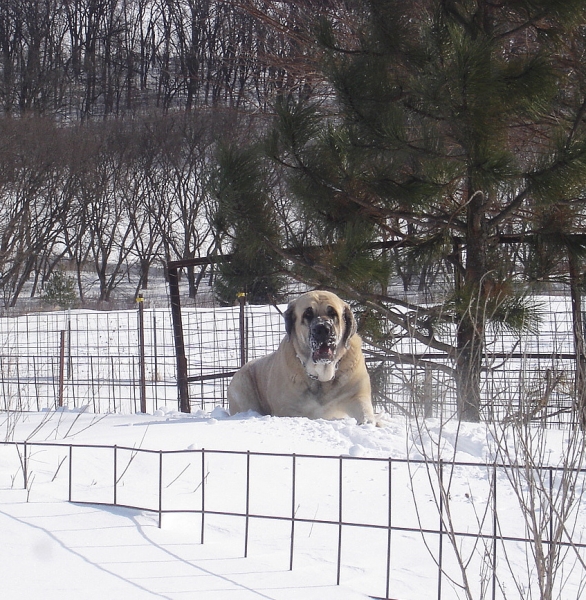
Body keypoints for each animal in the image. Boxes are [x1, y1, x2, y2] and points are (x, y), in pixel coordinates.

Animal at [228, 290, 374, 422]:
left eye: (332, 313)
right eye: (308, 314)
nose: (322, 329)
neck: (321, 380)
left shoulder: (357, 395)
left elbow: (365, 411)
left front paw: (369, 422)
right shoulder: (288, 409)